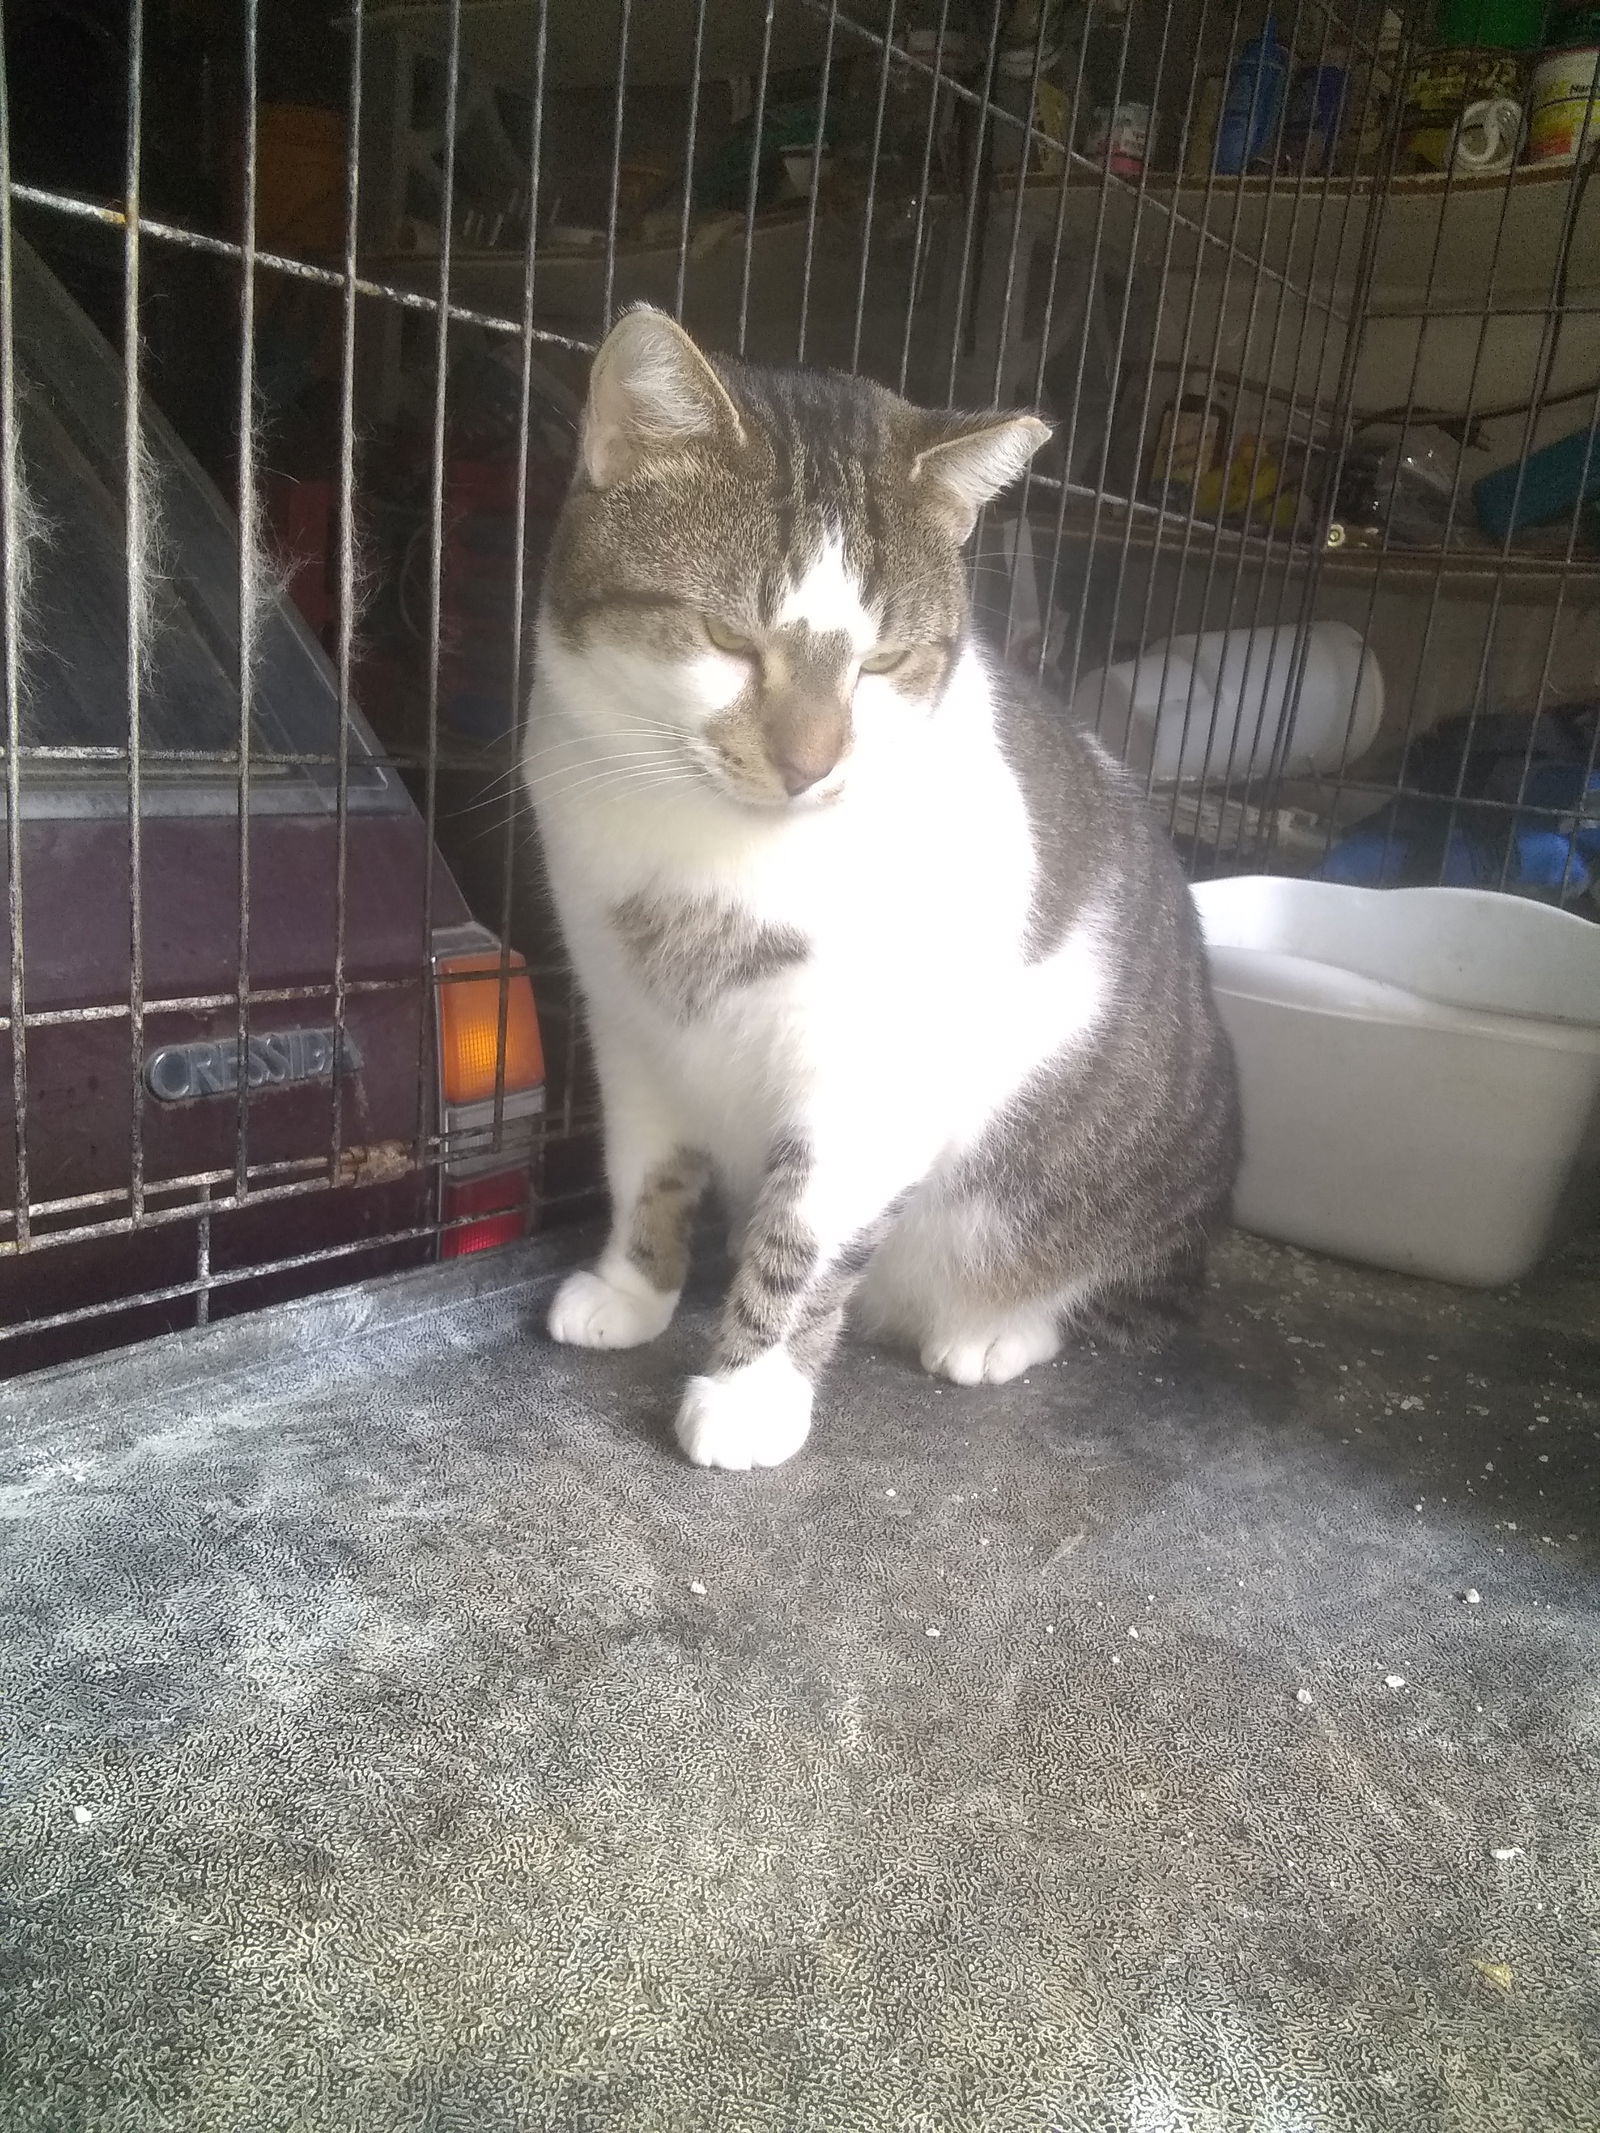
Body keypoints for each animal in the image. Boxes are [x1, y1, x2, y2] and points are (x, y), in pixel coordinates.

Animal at [526, 311, 1237, 1467]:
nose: (809, 764)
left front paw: (750, 1390)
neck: (713, 854)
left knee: (1098, 1286)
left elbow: (803, 1237)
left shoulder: (872, 1072)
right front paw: (631, 1288)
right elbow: (646, 1170)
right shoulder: (627, 1027)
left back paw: (995, 1332)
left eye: (882, 663)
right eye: (726, 638)